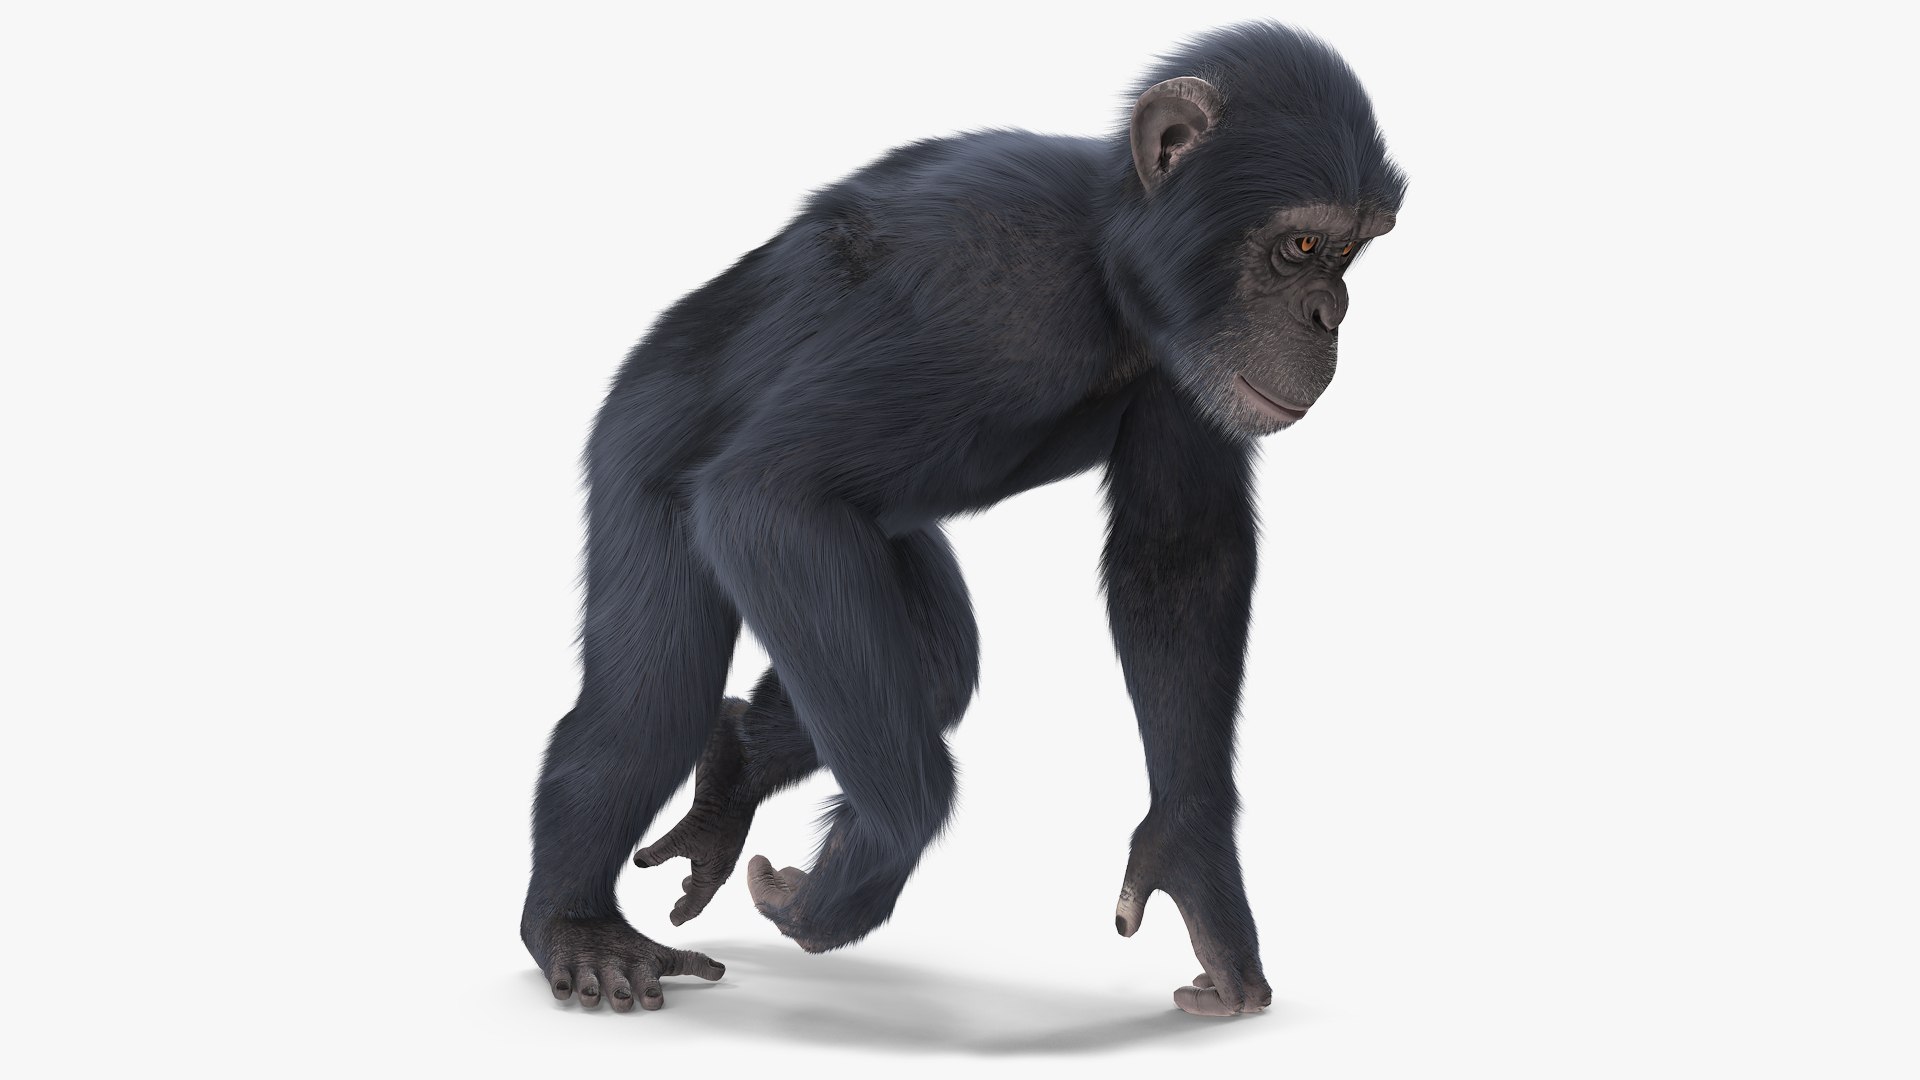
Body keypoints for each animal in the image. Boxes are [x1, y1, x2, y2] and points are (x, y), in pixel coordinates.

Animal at [522, 21, 1406, 1017]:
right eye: (1302, 243)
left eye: (1351, 253)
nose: (1328, 313)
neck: (1107, 266)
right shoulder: (981, 297)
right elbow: (768, 490)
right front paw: (868, 861)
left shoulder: (1194, 371)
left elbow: (1179, 557)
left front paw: (1196, 867)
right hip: (640, 445)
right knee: (649, 706)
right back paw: (581, 929)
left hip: (883, 550)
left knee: (937, 669)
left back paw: (734, 766)